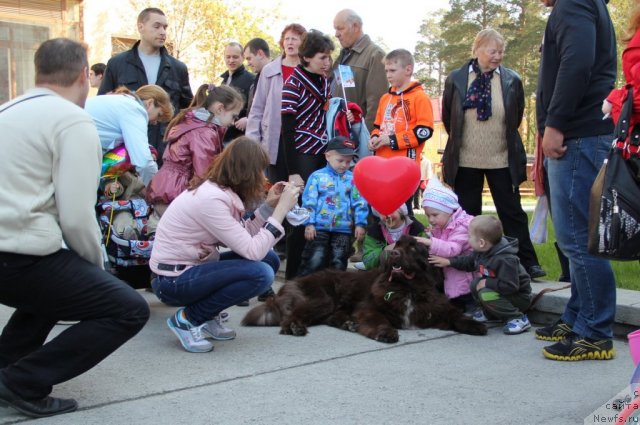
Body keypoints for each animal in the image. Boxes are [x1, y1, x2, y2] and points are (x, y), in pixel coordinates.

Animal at [242, 234, 488, 340]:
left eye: (413, 248)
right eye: (397, 245)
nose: (393, 253)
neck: (407, 288)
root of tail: (290, 282)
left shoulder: (436, 309)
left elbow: (456, 315)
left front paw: (475, 325)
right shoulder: (370, 308)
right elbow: (378, 319)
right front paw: (385, 332)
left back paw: (349, 323)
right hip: (322, 299)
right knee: (292, 316)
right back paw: (295, 328)